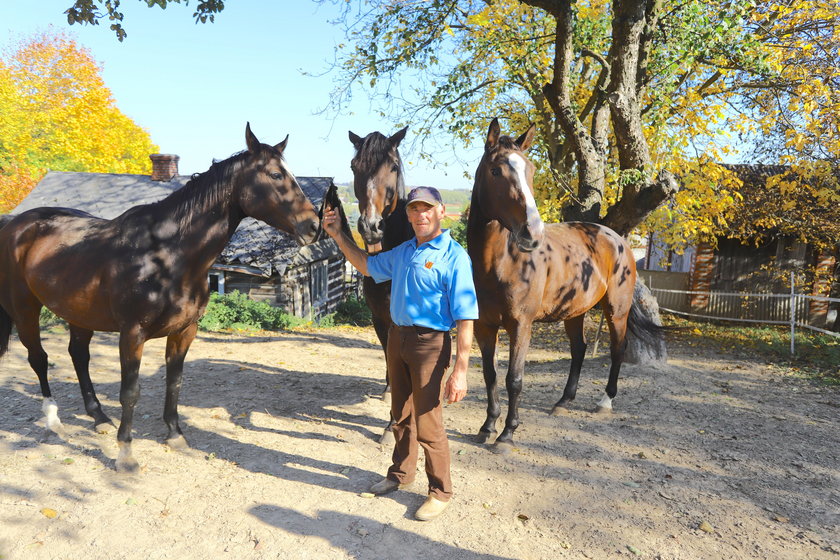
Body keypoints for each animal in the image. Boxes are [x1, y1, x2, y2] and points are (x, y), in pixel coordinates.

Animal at [0, 123, 320, 472]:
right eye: (275, 175)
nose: (314, 226)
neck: (166, 254)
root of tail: (15, 224)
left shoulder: (185, 331)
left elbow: (174, 382)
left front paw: (175, 435)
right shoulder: (132, 334)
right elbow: (130, 391)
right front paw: (125, 455)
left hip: (79, 313)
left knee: (78, 356)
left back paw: (99, 417)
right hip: (25, 309)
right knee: (39, 358)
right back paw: (52, 418)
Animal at [470, 117, 660, 450]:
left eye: (531, 170)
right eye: (495, 171)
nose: (532, 233)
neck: (500, 263)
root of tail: (617, 239)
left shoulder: (521, 325)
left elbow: (513, 379)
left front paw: (507, 433)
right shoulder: (484, 325)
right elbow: (490, 374)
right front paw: (487, 426)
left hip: (617, 310)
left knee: (617, 348)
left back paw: (604, 402)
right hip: (575, 311)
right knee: (579, 349)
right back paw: (563, 401)